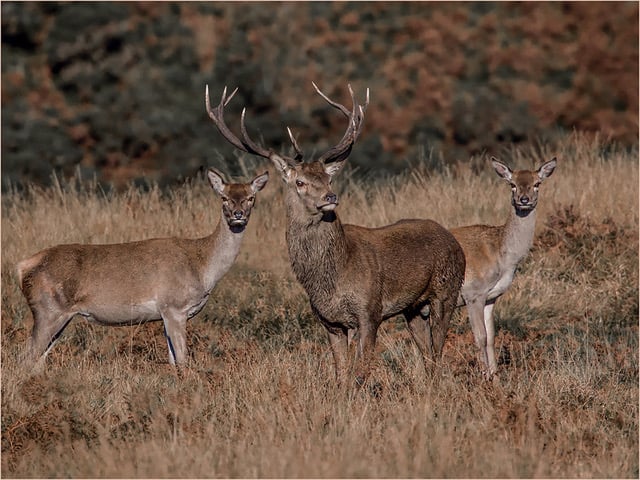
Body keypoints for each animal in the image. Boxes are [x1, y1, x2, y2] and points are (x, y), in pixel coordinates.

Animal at [17, 166, 269, 366]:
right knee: (25, 359)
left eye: (251, 197)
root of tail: (22, 266)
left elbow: (173, 362)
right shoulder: (174, 307)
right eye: (224, 198)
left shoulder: (167, 314)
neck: (202, 266)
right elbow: (183, 361)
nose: (238, 215)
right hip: (48, 310)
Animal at [204, 83, 466, 385]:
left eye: (328, 178)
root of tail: (453, 240)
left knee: (437, 351)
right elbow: (341, 374)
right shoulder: (329, 322)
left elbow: (360, 373)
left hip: (447, 292)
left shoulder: (369, 311)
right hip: (413, 309)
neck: (334, 276)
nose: (331, 196)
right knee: (428, 356)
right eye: (300, 182)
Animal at [450, 157, 557, 379]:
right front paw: (485, 376)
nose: (524, 199)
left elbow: (491, 336)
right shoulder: (473, 293)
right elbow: (480, 336)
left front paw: (496, 376)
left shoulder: (492, 297)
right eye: (512, 184)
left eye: (537, 183)